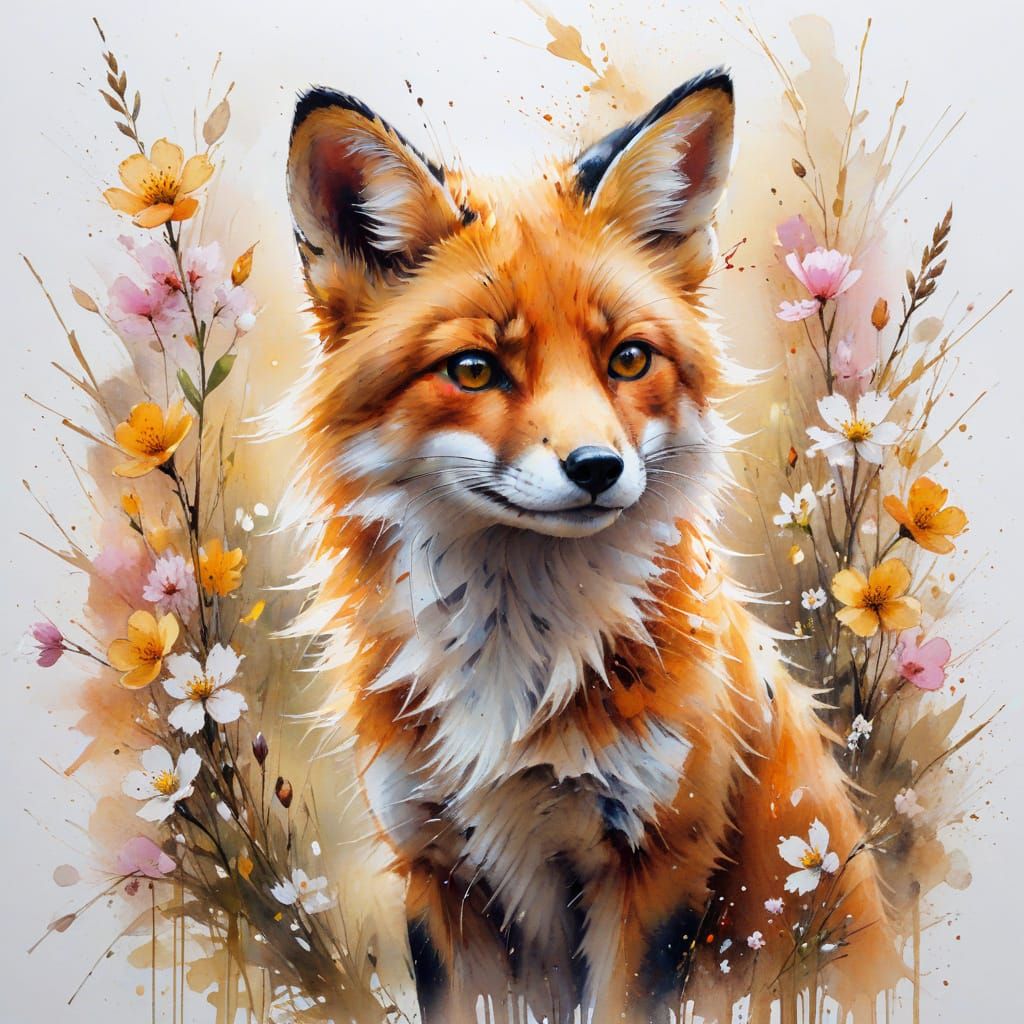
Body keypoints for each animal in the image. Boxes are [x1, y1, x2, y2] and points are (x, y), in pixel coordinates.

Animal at [284, 69, 892, 1023]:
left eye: (630, 359)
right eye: (473, 370)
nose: (599, 468)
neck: (513, 666)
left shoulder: (658, 862)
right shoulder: (439, 871)